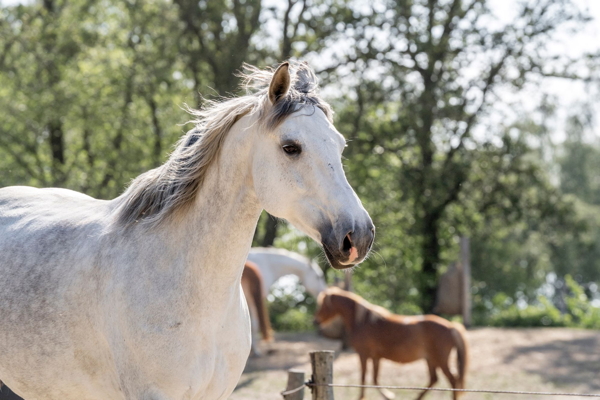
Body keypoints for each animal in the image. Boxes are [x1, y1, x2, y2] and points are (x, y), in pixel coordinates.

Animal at [314, 288, 468, 400]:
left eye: (323, 305)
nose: (315, 321)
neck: (363, 321)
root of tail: (451, 327)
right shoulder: (375, 357)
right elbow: (374, 379)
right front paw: (388, 396)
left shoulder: (363, 354)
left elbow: (364, 377)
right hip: (431, 360)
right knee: (434, 379)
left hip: (440, 360)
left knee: (453, 381)